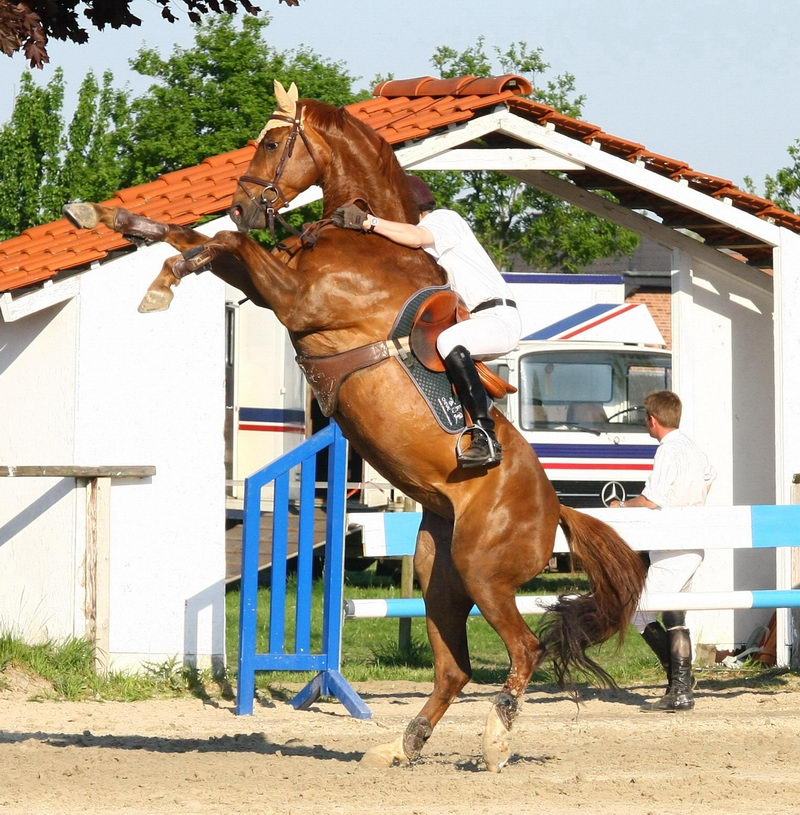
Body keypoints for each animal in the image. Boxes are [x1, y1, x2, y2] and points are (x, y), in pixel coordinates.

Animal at [65, 81, 648, 772]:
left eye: (272, 142)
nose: (242, 204)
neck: (375, 243)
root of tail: (559, 506)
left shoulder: (294, 299)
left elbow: (224, 246)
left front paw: (171, 276)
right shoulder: (276, 288)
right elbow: (188, 234)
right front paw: (103, 218)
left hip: (484, 568)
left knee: (522, 650)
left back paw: (496, 740)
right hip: (440, 570)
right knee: (454, 668)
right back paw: (403, 744)